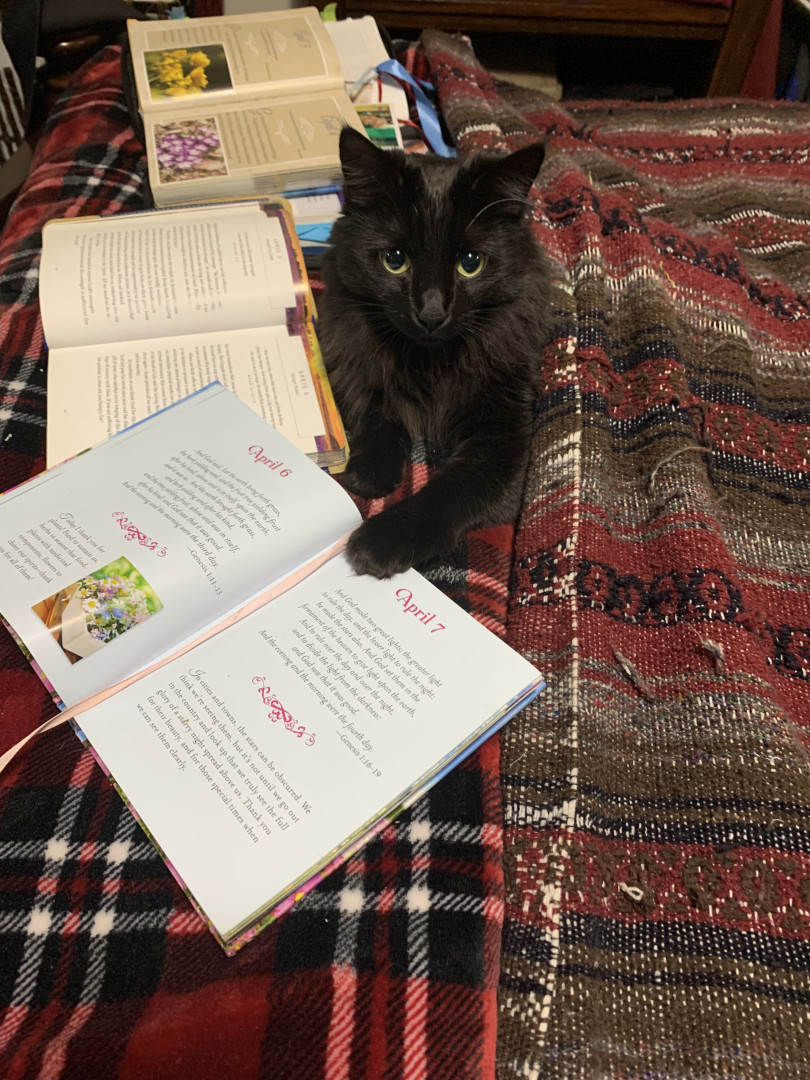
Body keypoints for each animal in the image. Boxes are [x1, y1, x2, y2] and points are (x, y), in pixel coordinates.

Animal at [319, 126, 551, 579]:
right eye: (394, 260)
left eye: (470, 263)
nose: (431, 313)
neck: (426, 364)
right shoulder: (358, 366)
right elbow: (377, 414)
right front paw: (371, 473)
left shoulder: (501, 442)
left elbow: (443, 495)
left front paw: (377, 542)